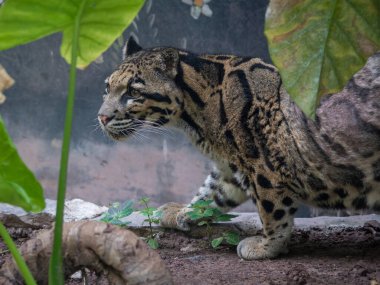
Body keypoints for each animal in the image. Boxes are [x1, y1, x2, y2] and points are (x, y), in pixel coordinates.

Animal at [98, 37, 380, 260]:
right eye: (107, 87)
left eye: (133, 92)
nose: (102, 117)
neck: (195, 116)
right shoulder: (231, 168)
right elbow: (210, 194)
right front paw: (183, 212)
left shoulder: (264, 168)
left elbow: (272, 212)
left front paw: (267, 247)